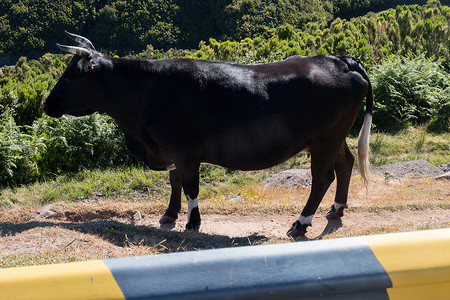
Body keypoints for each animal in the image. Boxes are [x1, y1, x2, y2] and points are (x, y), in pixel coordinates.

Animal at [43, 32, 372, 239]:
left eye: (71, 75)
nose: (47, 105)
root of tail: (340, 60)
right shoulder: (169, 149)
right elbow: (175, 181)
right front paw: (169, 214)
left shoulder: (185, 149)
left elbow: (191, 186)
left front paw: (193, 222)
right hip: (335, 136)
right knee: (346, 163)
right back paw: (337, 210)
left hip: (323, 139)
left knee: (322, 178)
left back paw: (300, 224)